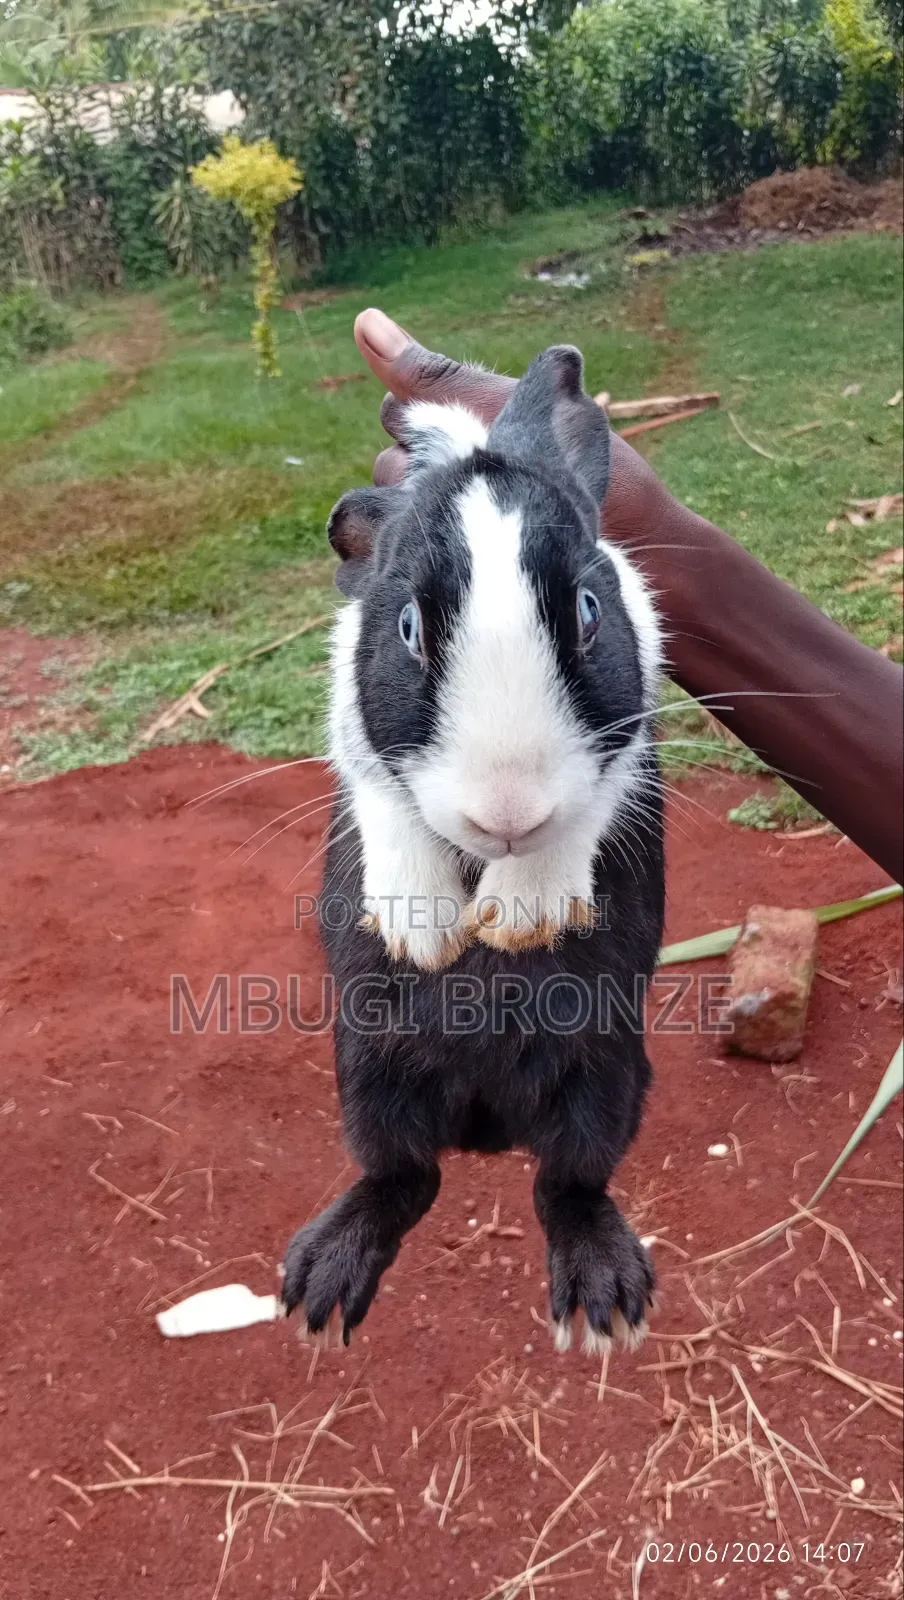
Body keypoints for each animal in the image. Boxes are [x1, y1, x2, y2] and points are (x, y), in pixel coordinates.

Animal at [281, 345, 665, 1356]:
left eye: (588, 609)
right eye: (409, 628)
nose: (508, 808)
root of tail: (489, 1130)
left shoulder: (628, 739)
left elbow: (585, 810)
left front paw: (521, 917)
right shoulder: (361, 747)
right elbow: (387, 803)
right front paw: (425, 934)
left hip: (610, 1076)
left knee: (566, 1182)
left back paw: (605, 1304)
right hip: (368, 1075)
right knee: (404, 1175)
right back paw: (319, 1290)